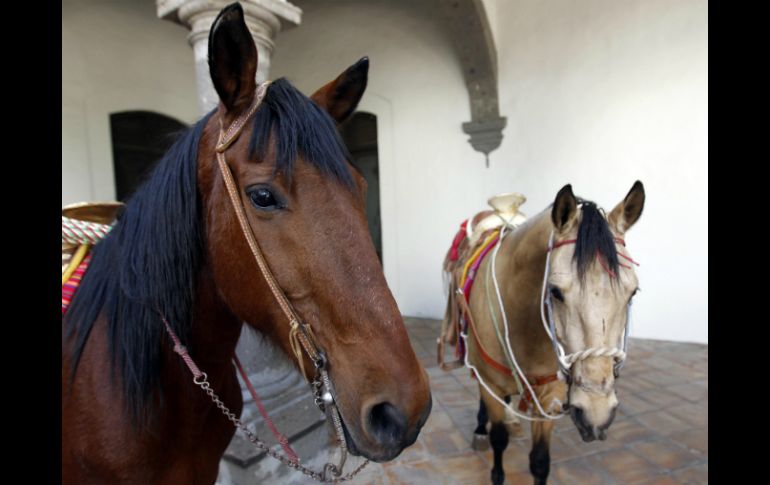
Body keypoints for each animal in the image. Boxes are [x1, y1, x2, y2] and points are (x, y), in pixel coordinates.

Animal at [444, 182, 645, 484]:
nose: (596, 412)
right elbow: (498, 439)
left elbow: (540, 461)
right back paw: (481, 428)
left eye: (633, 292)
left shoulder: (549, 398)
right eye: (555, 291)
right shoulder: (491, 384)